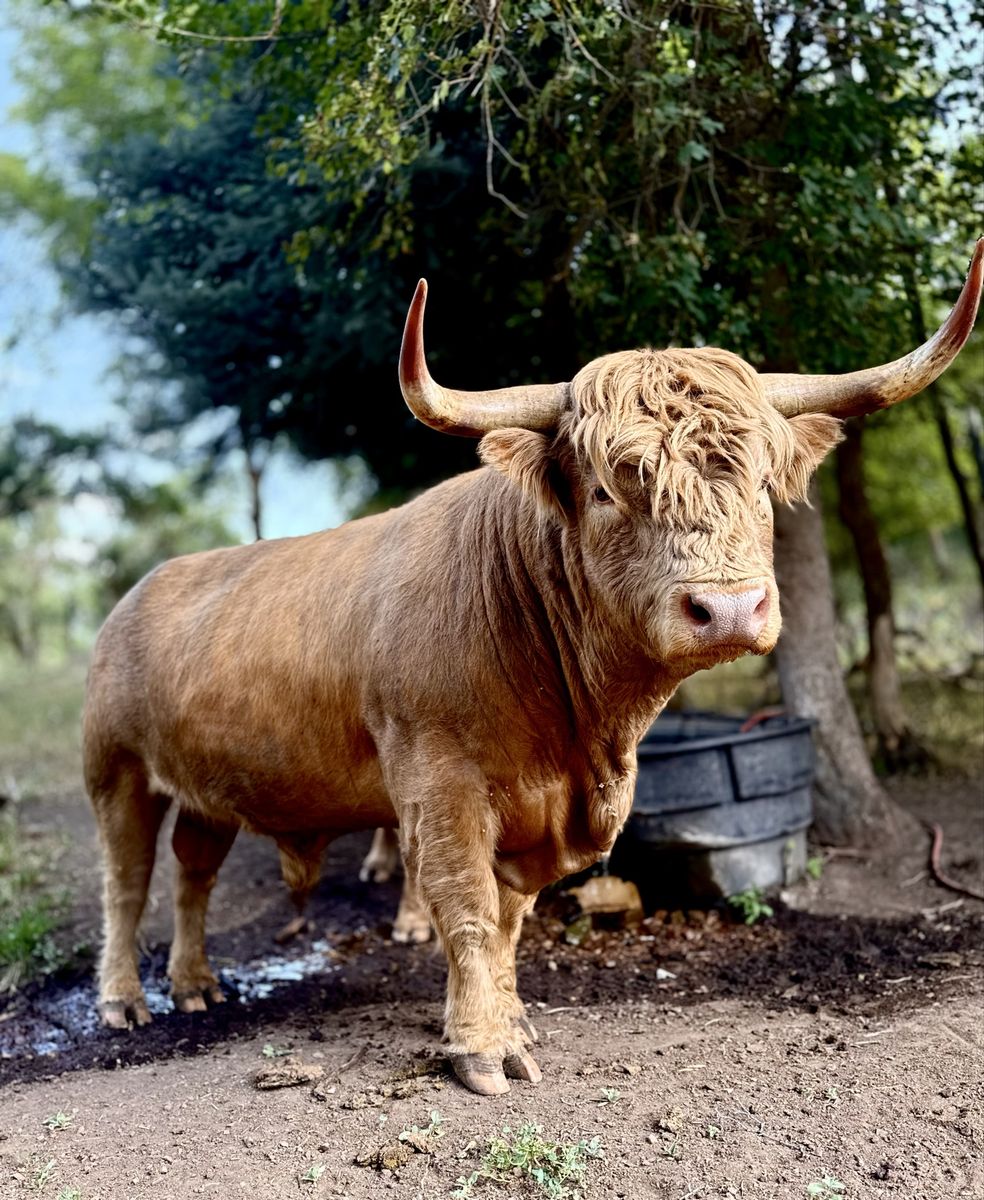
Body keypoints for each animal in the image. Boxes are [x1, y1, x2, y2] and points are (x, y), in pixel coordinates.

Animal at [83, 242, 982, 1095]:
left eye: (762, 483)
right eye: (608, 491)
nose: (728, 609)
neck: (576, 729)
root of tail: (140, 590)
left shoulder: (536, 815)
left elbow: (511, 917)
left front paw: (513, 1019)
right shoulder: (439, 785)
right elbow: (467, 907)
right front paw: (482, 1046)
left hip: (205, 792)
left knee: (193, 875)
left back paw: (195, 983)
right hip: (117, 771)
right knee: (126, 882)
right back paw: (124, 1000)